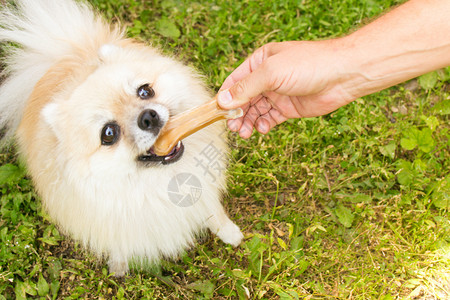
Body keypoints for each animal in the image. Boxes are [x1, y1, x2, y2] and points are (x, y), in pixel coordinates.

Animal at [0, 0, 243, 276]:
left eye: (145, 91)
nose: (148, 117)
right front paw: (119, 266)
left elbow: (212, 209)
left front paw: (229, 232)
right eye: (109, 134)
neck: (158, 181)